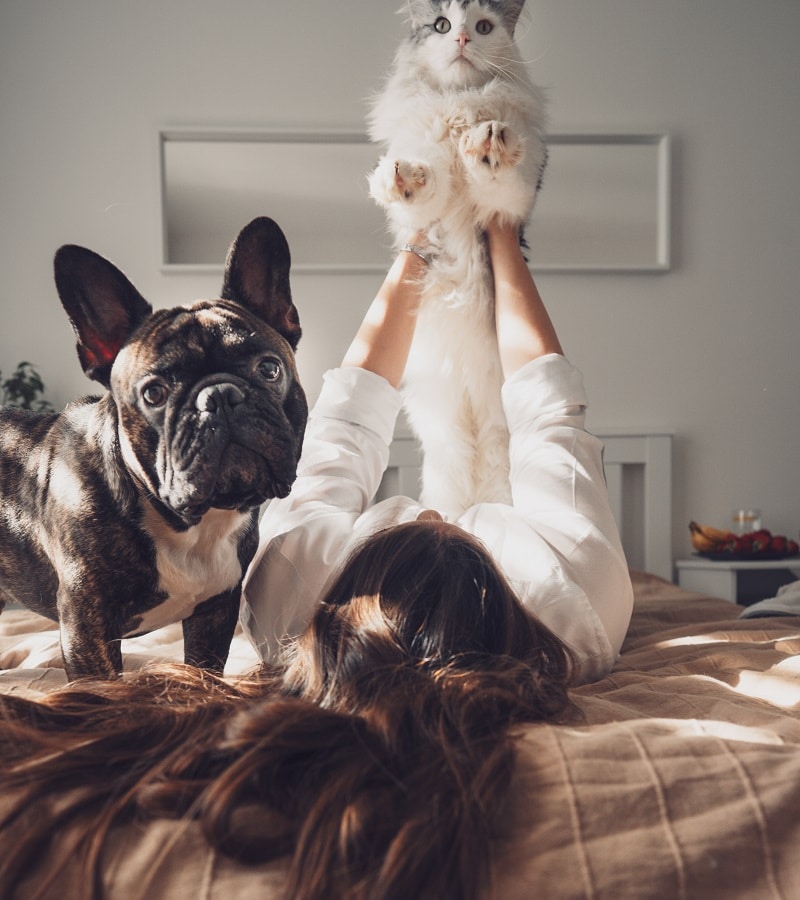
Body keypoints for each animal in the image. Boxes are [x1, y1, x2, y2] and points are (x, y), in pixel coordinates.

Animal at [368, 0, 548, 516]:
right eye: (442, 25)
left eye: (484, 27)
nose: (464, 39)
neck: (460, 104)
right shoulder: (427, 204)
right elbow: (423, 184)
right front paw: (400, 177)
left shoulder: (512, 201)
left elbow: (497, 177)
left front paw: (488, 143)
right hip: (447, 443)